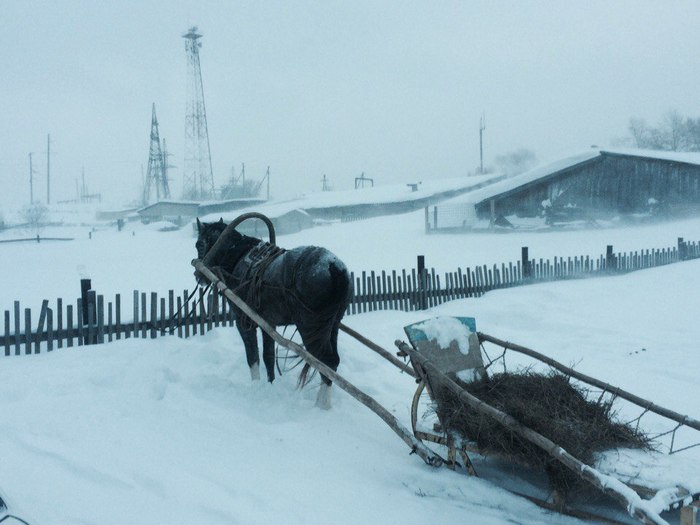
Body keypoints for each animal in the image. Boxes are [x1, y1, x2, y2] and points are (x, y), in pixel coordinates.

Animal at [196, 218, 350, 410]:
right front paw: (270, 385)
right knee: (332, 363)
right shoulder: (268, 324)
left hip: (310, 327)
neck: (236, 254)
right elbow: (268, 356)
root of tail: (333, 266)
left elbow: (252, 356)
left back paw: (323, 406)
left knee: (326, 362)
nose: (198, 276)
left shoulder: (244, 321)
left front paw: (255, 386)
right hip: (332, 326)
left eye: (199, 244)